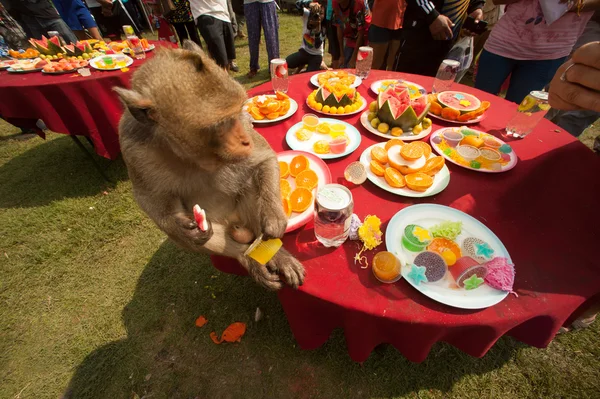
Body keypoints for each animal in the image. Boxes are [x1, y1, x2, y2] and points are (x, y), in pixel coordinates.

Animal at [114, 41, 304, 290]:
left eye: (237, 114)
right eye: (221, 123)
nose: (245, 140)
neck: (189, 155)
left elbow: (264, 159)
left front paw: (273, 218)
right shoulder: (133, 150)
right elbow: (150, 202)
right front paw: (178, 226)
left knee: (251, 182)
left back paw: (275, 254)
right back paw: (248, 257)